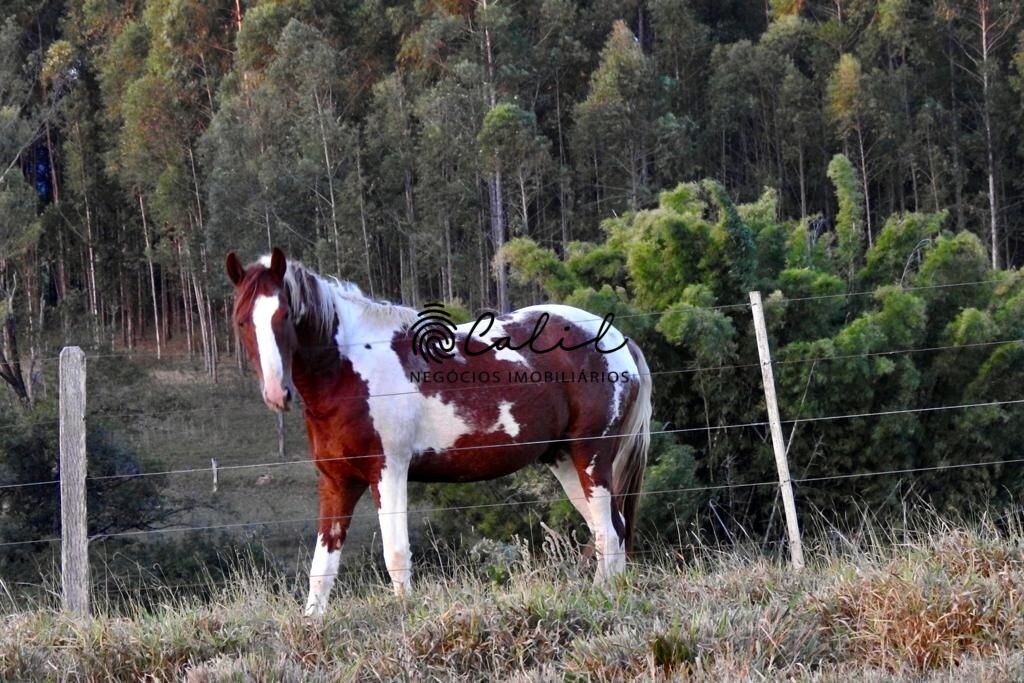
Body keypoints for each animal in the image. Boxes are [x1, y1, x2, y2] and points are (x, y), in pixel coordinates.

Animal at [227, 248, 651, 618]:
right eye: (242, 321)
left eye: (284, 315)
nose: (277, 393)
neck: (350, 369)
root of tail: (616, 339)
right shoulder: (337, 482)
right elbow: (322, 567)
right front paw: (313, 623)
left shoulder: (389, 472)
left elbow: (396, 554)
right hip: (564, 461)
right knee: (609, 528)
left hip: (591, 456)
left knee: (609, 532)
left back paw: (604, 596)